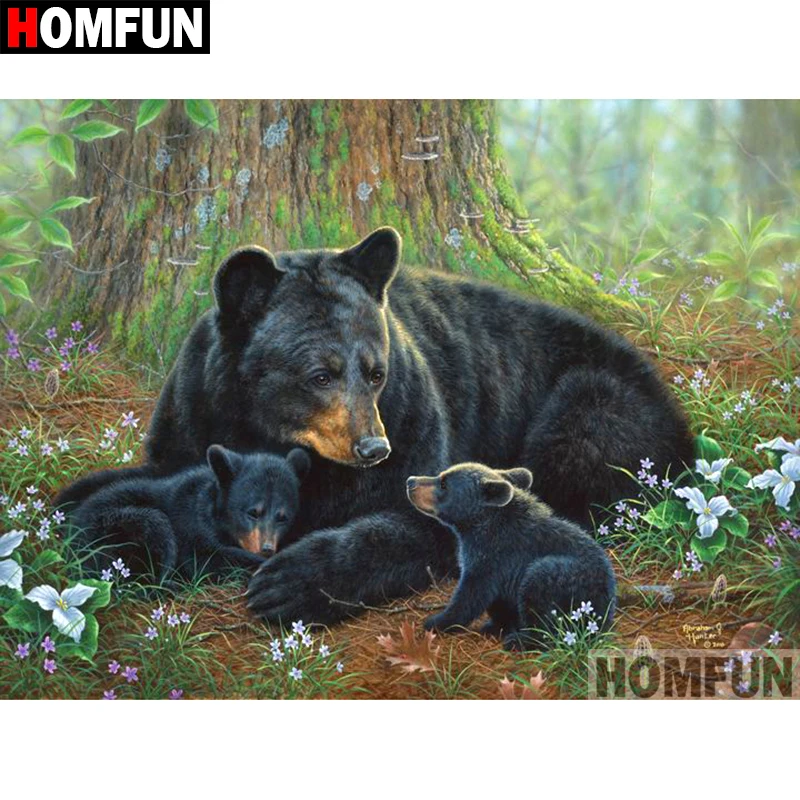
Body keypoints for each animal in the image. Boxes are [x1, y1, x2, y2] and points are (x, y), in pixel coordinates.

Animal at [68, 445, 310, 582]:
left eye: (283, 517)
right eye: (253, 512)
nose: (267, 548)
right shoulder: (190, 525)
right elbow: (208, 559)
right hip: (117, 524)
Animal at [406, 462, 616, 651]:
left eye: (444, 483)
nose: (410, 481)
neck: (480, 526)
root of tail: (605, 610)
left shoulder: (492, 556)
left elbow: (471, 595)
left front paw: (437, 621)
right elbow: (499, 600)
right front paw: (497, 625)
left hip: (564, 577)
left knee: (539, 592)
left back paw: (522, 641)